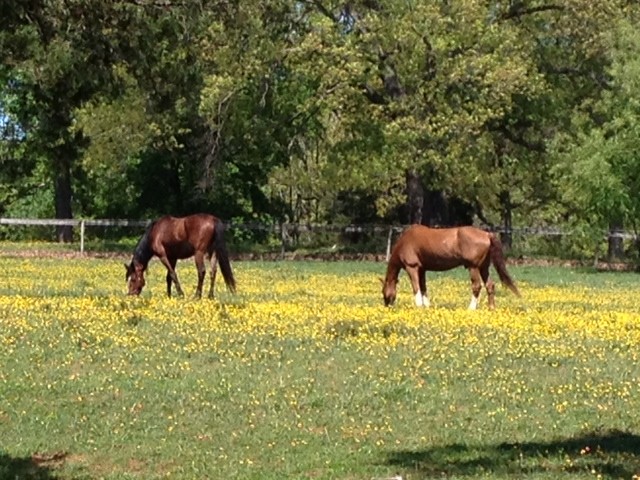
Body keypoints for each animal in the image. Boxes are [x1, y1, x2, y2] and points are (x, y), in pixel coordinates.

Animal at [381, 225, 520, 309]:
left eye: (383, 291)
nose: (387, 305)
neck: (405, 241)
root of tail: (487, 234)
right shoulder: (422, 269)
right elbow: (423, 287)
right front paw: (427, 306)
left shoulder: (412, 267)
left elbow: (416, 288)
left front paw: (419, 305)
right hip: (483, 267)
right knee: (490, 285)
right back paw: (491, 308)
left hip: (473, 267)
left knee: (477, 286)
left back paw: (471, 308)